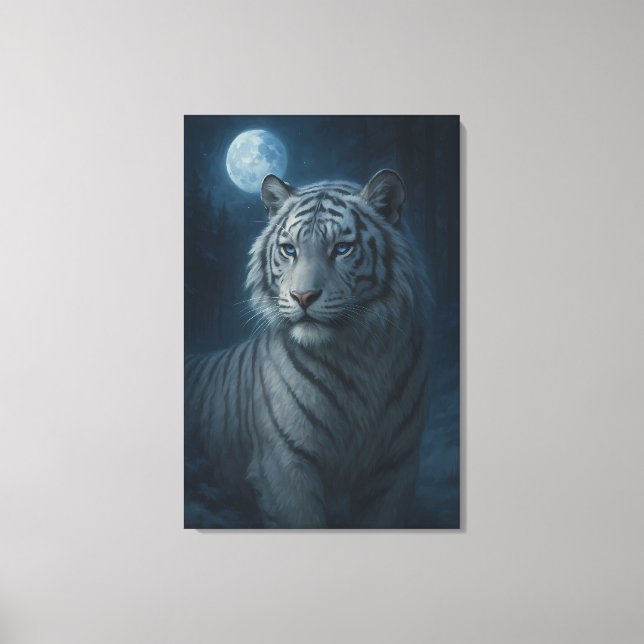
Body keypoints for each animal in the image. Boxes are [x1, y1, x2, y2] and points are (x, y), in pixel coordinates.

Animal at [185, 169, 431, 528]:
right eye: (289, 250)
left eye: (342, 248)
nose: (303, 297)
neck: (360, 354)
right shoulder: (284, 465)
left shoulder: (396, 466)